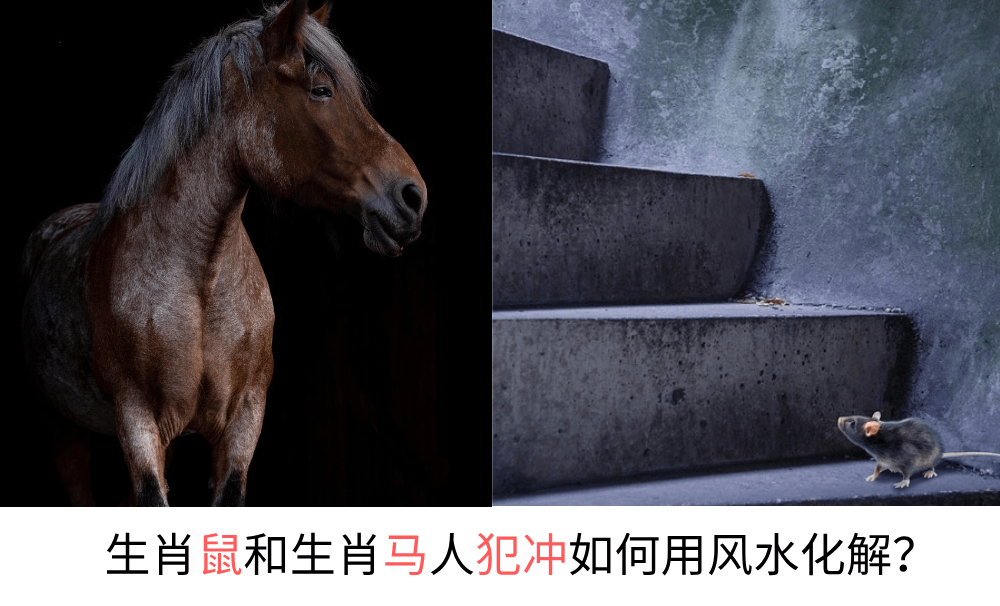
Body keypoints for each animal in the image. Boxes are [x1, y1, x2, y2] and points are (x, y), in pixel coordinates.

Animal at [20, 0, 427, 506]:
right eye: (321, 90)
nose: (412, 197)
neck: (202, 279)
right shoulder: (137, 423)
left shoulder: (243, 423)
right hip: (61, 428)